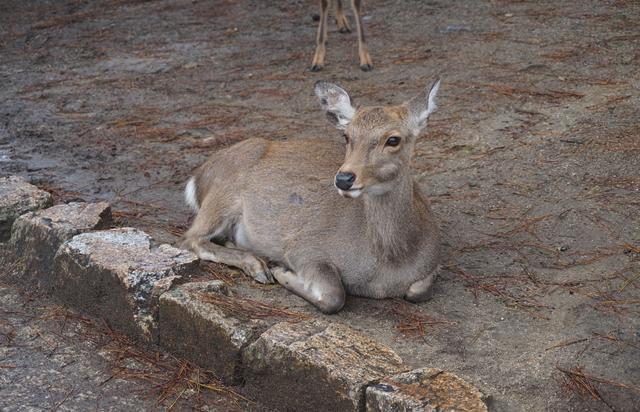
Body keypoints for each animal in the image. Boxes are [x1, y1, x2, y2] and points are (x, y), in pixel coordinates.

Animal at [180, 79, 440, 314]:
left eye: (393, 139)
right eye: (346, 136)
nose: (343, 178)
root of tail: (199, 176)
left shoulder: (433, 263)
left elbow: (418, 290)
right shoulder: (305, 247)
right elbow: (334, 296)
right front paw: (281, 271)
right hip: (222, 195)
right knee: (192, 238)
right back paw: (257, 265)